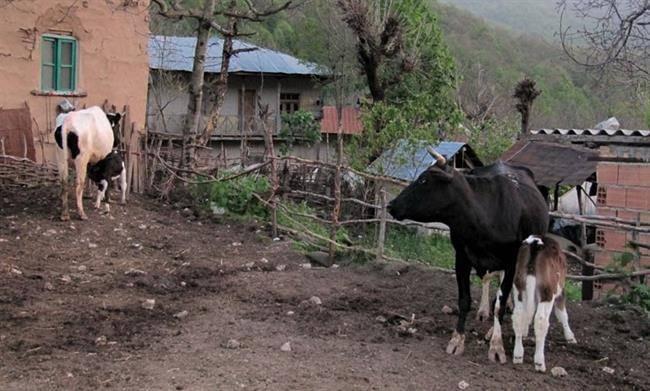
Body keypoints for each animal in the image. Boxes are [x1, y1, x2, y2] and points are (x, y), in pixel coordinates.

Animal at [384, 149, 548, 362]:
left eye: (423, 180)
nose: (391, 205)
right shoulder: (461, 257)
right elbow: (464, 300)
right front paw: (457, 339)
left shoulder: (511, 261)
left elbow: (500, 304)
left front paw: (496, 345)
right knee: (489, 281)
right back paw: (484, 311)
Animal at [508, 236, 576, 374]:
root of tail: (535, 243)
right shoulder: (561, 290)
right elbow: (562, 314)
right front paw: (570, 336)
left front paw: (525, 332)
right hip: (547, 291)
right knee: (540, 321)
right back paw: (539, 362)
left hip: (518, 286)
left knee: (518, 316)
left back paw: (518, 355)